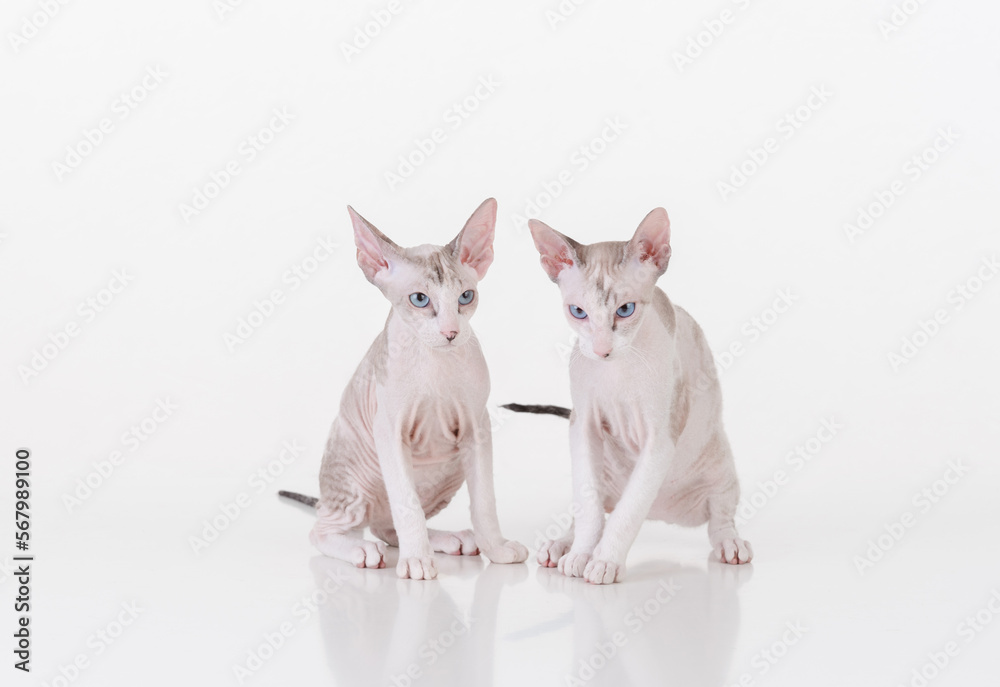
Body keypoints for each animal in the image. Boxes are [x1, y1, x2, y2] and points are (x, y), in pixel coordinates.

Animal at [280, 199, 528, 580]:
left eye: (466, 297)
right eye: (420, 300)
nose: (451, 333)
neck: (435, 362)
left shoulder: (478, 426)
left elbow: (485, 500)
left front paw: (497, 550)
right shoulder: (388, 430)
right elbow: (406, 505)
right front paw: (416, 563)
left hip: (449, 469)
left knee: (387, 526)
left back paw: (448, 539)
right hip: (354, 478)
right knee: (325, 530)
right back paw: (362, 549)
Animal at [508, 207, 752, 584]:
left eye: (625, 310)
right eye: (578, 312)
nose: (601, 350)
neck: (617, 371)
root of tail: (665, 513)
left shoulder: (660, 440)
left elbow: (628, 510)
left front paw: (605, 561)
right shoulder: (582, 425)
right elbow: (591, 509)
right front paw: (581, 555)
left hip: (720, 466)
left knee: (719, 517)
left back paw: (731, 545)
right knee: (589, 506)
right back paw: (561, 546)